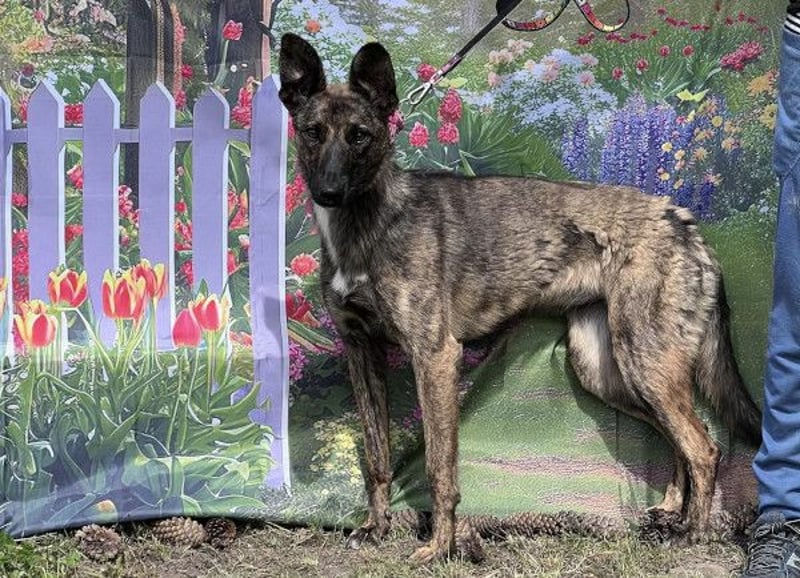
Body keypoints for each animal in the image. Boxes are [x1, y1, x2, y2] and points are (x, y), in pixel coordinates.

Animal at [277, 33, 763, 563]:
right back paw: (671, 511)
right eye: (312, 133)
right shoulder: (362, 354)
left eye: (360, 136)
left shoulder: (435, 357)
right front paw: (376, 527)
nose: (328, 192)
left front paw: (440, 548)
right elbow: (377, 458)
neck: (372, 224)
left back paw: (693, 531)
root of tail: (681, 218)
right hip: (607, 371)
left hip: (644, 362)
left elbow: (439, 469)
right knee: (678, 440)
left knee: (704, 446)